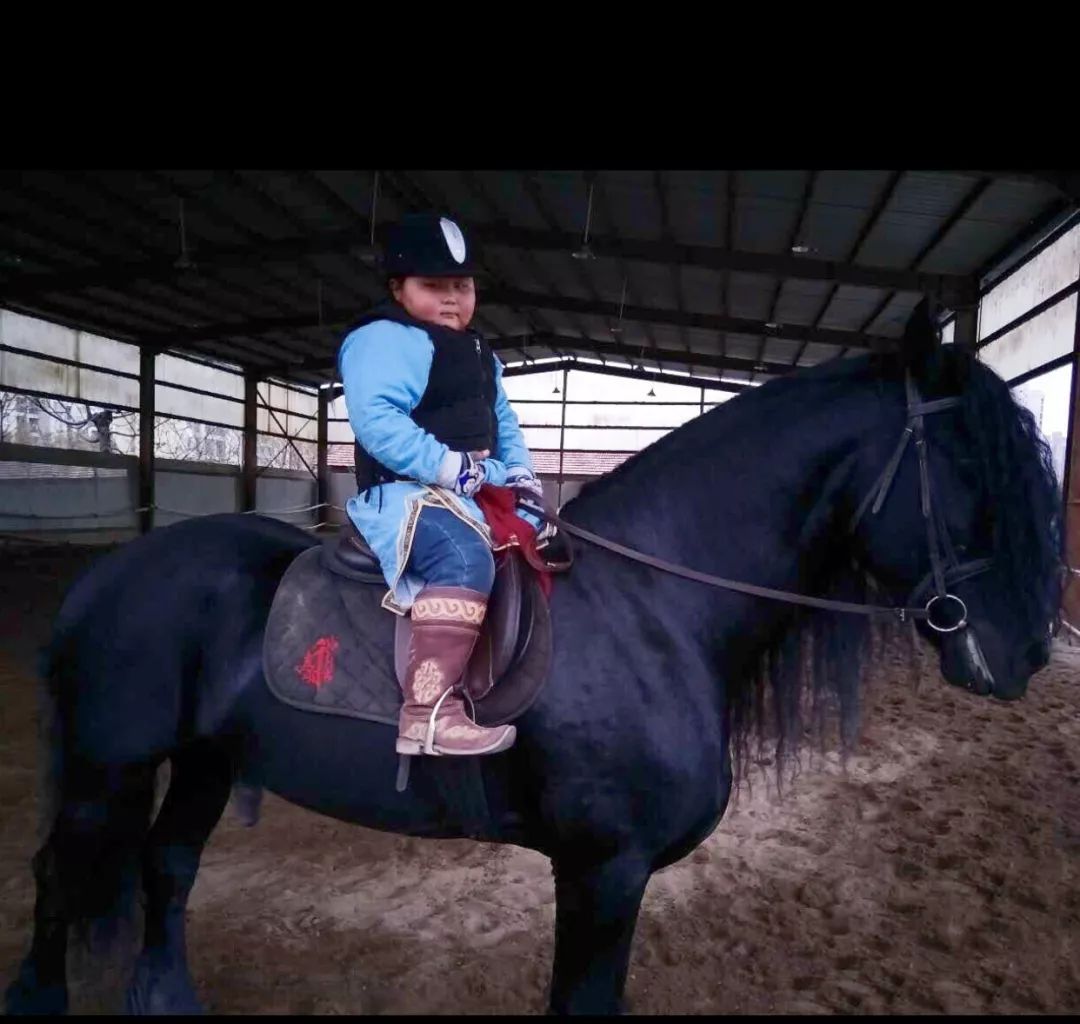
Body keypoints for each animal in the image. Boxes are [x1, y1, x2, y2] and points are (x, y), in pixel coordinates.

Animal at [3, 306, 1063, 1015]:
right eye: (972, 464)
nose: (1025, 652)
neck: (654, 614)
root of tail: (109, 576)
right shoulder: (603, 874)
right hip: (106, 768)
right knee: (61, 875)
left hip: (206, 762)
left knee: (169, 865)